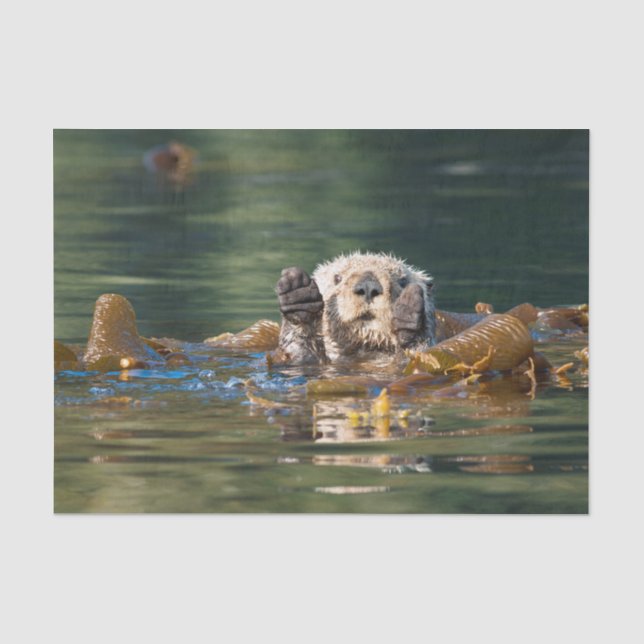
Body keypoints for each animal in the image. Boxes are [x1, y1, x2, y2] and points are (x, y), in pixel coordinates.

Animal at [275, 252, 439, 364]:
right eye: (337, 278)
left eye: (403, 281)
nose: (368, 286)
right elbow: (298, 352)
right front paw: (298, 294)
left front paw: (408, 313)